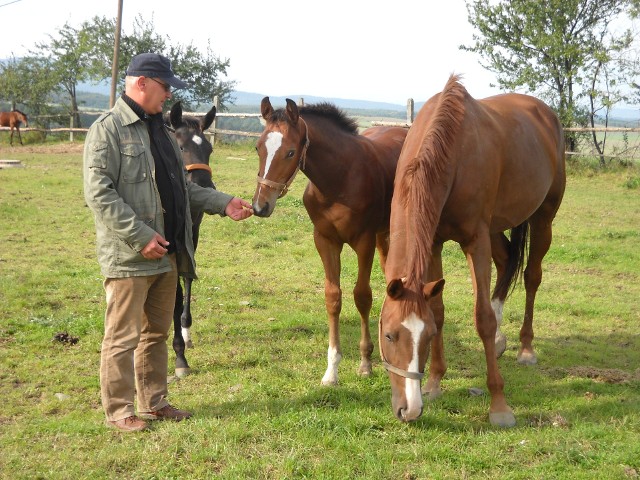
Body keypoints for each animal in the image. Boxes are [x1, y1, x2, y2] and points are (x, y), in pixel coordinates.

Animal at [252, 97, 408, 386]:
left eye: (290, 152)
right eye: (258, 147)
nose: (260, 206)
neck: (340, 179)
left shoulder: (363, 241)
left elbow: (362, 296)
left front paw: (365, 362)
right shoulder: (325, 240)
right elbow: (333, 297)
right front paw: (331, 370)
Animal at [380, 75, 564, 428]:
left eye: (424, 337)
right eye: (389, 335)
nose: (409, 409)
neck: (451, 152)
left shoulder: (475, 240)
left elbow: (483, 318)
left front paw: (499, 406)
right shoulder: (434, 242)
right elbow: (438, 309)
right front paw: (435, 382)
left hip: (542, 218)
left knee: (531, 277)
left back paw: (525, 348)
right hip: (496, 228)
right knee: (506, 262)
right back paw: (502, 341)